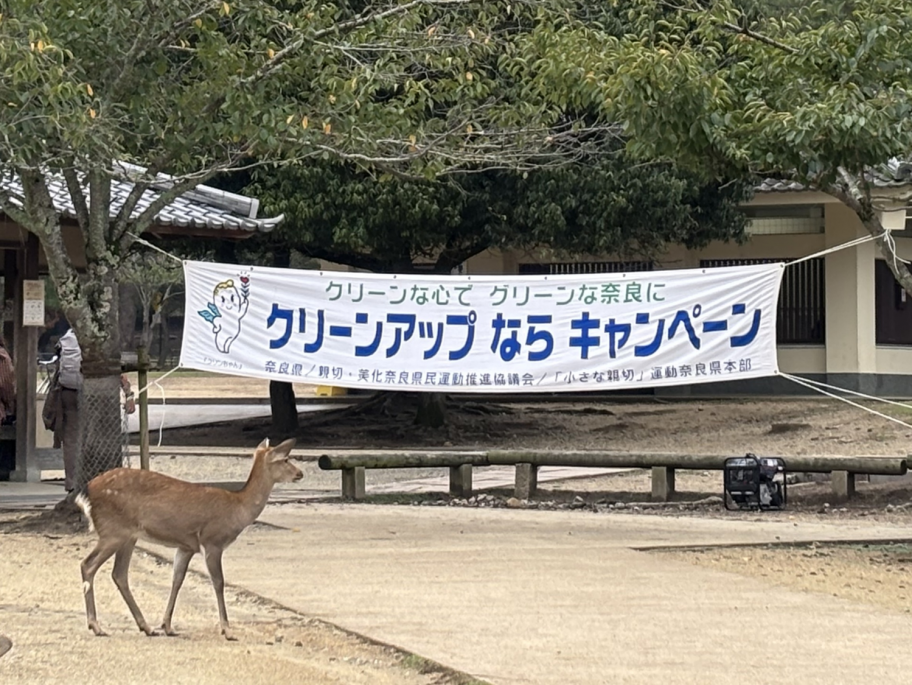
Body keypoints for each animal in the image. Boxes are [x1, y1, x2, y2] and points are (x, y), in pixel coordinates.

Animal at [74, 437, 301, 640]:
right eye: (285, 459)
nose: (300, 473)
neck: (237, 509)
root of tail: (87, 491)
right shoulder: (212, 540)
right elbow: (218, 582)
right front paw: (227, 631)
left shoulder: (186, 546)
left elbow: (177, 579)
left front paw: (167, 626)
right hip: (113, 531)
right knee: (88, 565)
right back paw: (96, 626)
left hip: (128, 536)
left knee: (119, 574)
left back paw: (146, 627)